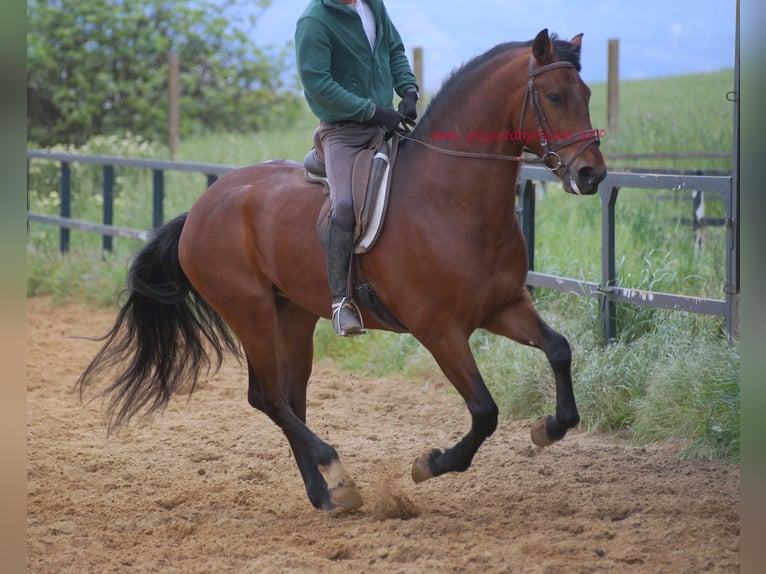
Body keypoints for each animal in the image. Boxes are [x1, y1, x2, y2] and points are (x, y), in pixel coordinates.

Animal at [78, 29, 606, 511]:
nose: (591, 175)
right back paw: (334, 470)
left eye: (586, 94)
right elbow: (484, 411)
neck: (451, 199)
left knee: (289, 396)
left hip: (292, 314)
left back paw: (325, 493)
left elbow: (559, 350)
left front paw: (549, 427)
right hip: (249, 312)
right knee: (267, 397)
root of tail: (201, 208)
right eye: (555, 96)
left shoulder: (505, 306)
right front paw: (430, 464)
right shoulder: (440, 330)